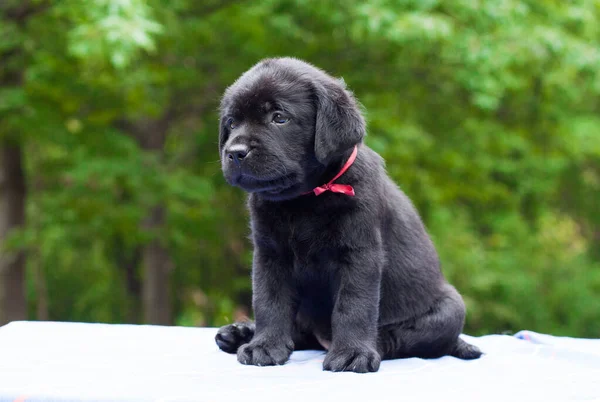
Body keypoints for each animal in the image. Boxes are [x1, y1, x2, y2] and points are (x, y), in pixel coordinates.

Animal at [213, 57, 480, 374]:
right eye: (231, 122)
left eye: (279, 117)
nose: (235, 152)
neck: (304, 200)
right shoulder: (270, 254)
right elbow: (269, 301)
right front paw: (264, 346)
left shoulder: (360, 253)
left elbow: (353, 305)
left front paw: (352, 353)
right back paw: (240, 332)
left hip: (451, 307)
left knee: (402, 337)